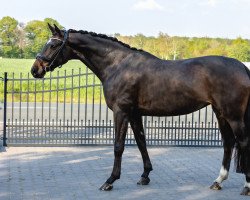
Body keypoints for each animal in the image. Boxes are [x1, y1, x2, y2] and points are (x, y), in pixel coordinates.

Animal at [31, 23, 250, 195]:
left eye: (53, 45)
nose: (35, 70)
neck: (118, 65)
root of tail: (242, 67)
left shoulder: (121, 111)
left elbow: (118, 146)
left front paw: (110, 181)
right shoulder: (135, 114)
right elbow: (141, 142)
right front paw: (145, 175)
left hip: (233, 116)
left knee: (243, 142)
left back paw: (246, 186)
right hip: (220, 113)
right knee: (228, 143)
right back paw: (218, 181)